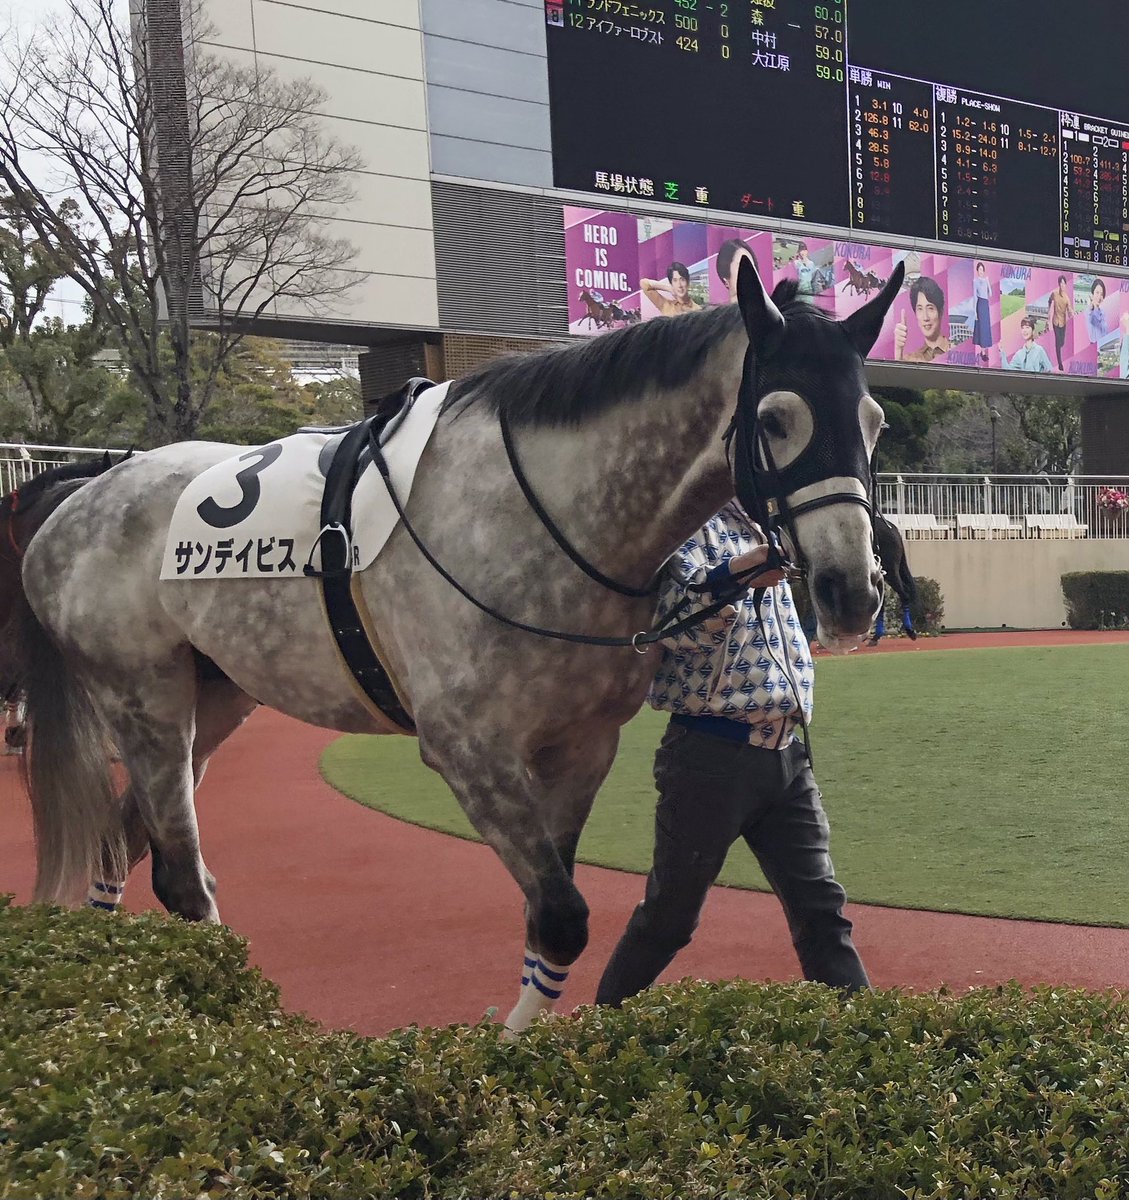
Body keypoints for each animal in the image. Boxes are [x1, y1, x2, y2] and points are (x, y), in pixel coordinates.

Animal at [11, 260, 897, 1032]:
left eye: (874, 420)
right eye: (776, 417)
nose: (852, 589)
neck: (549, 516)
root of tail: (84, 490)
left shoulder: (581, 745)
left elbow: (551, 920)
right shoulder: (468, 749)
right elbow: (562, 918)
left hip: (214, 697)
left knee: (125, 845)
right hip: (143, 697)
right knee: (178, 874)